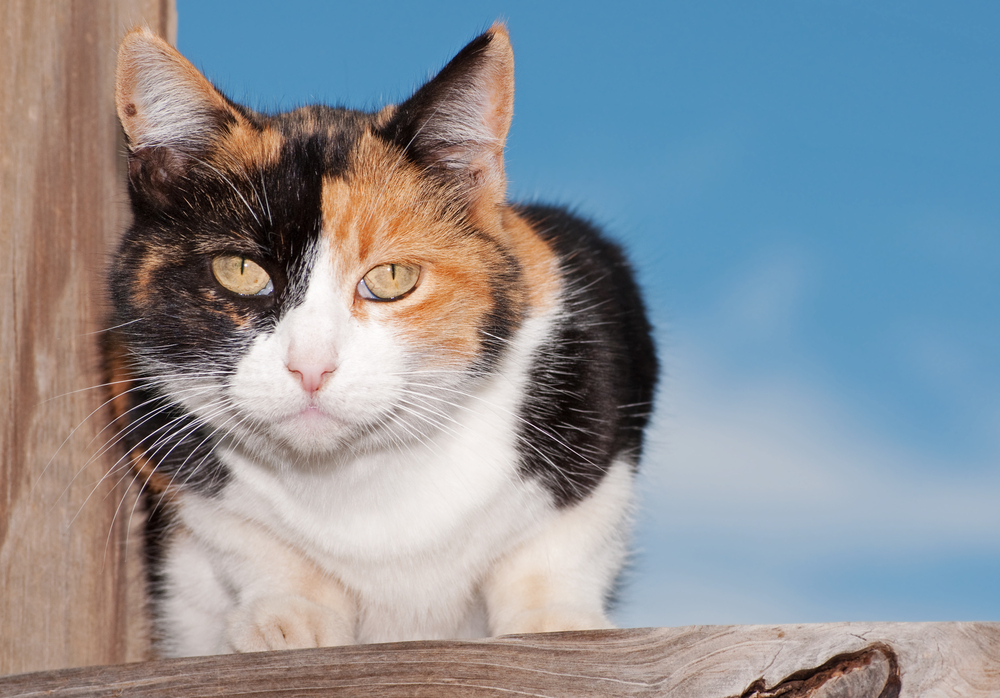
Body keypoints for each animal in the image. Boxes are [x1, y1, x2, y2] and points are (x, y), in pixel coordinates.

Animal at [109, 21, 656, 652]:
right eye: (239, 271)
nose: (311, 366)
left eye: (392, 278)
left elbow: (561, 547)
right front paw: (291, 618)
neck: (358, 481)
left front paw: (554, 624)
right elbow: (252, 542)